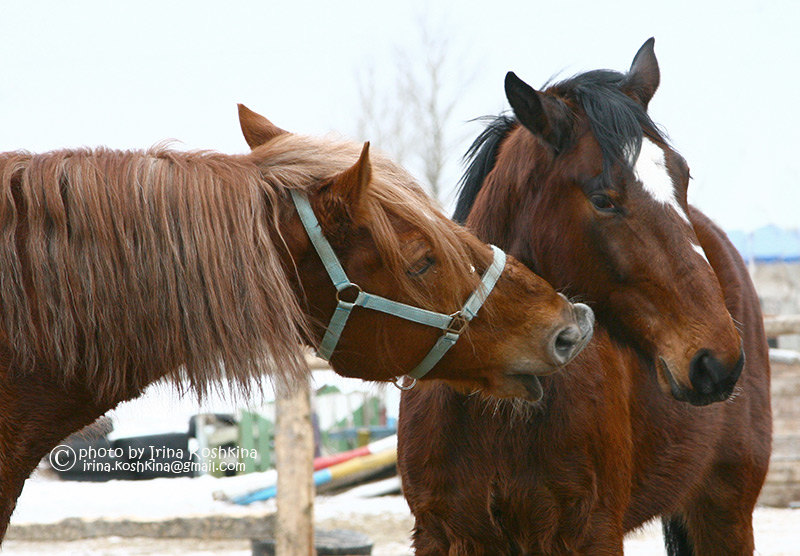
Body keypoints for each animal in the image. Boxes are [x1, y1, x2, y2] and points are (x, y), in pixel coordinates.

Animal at [396, 40, 772, 556]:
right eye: (602, 199)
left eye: (684, 176)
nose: (716, 361)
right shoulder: (441, 533)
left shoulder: (591, 532)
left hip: (725, 511)